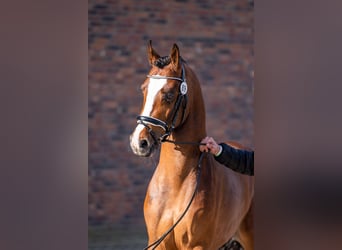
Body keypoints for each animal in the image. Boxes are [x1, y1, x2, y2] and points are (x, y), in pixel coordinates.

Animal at [130, 41, 254, 250]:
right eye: (143, 89)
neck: (175, 185)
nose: (139, 143)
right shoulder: (157, 243)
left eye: (169, 94)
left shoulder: (197, 245)